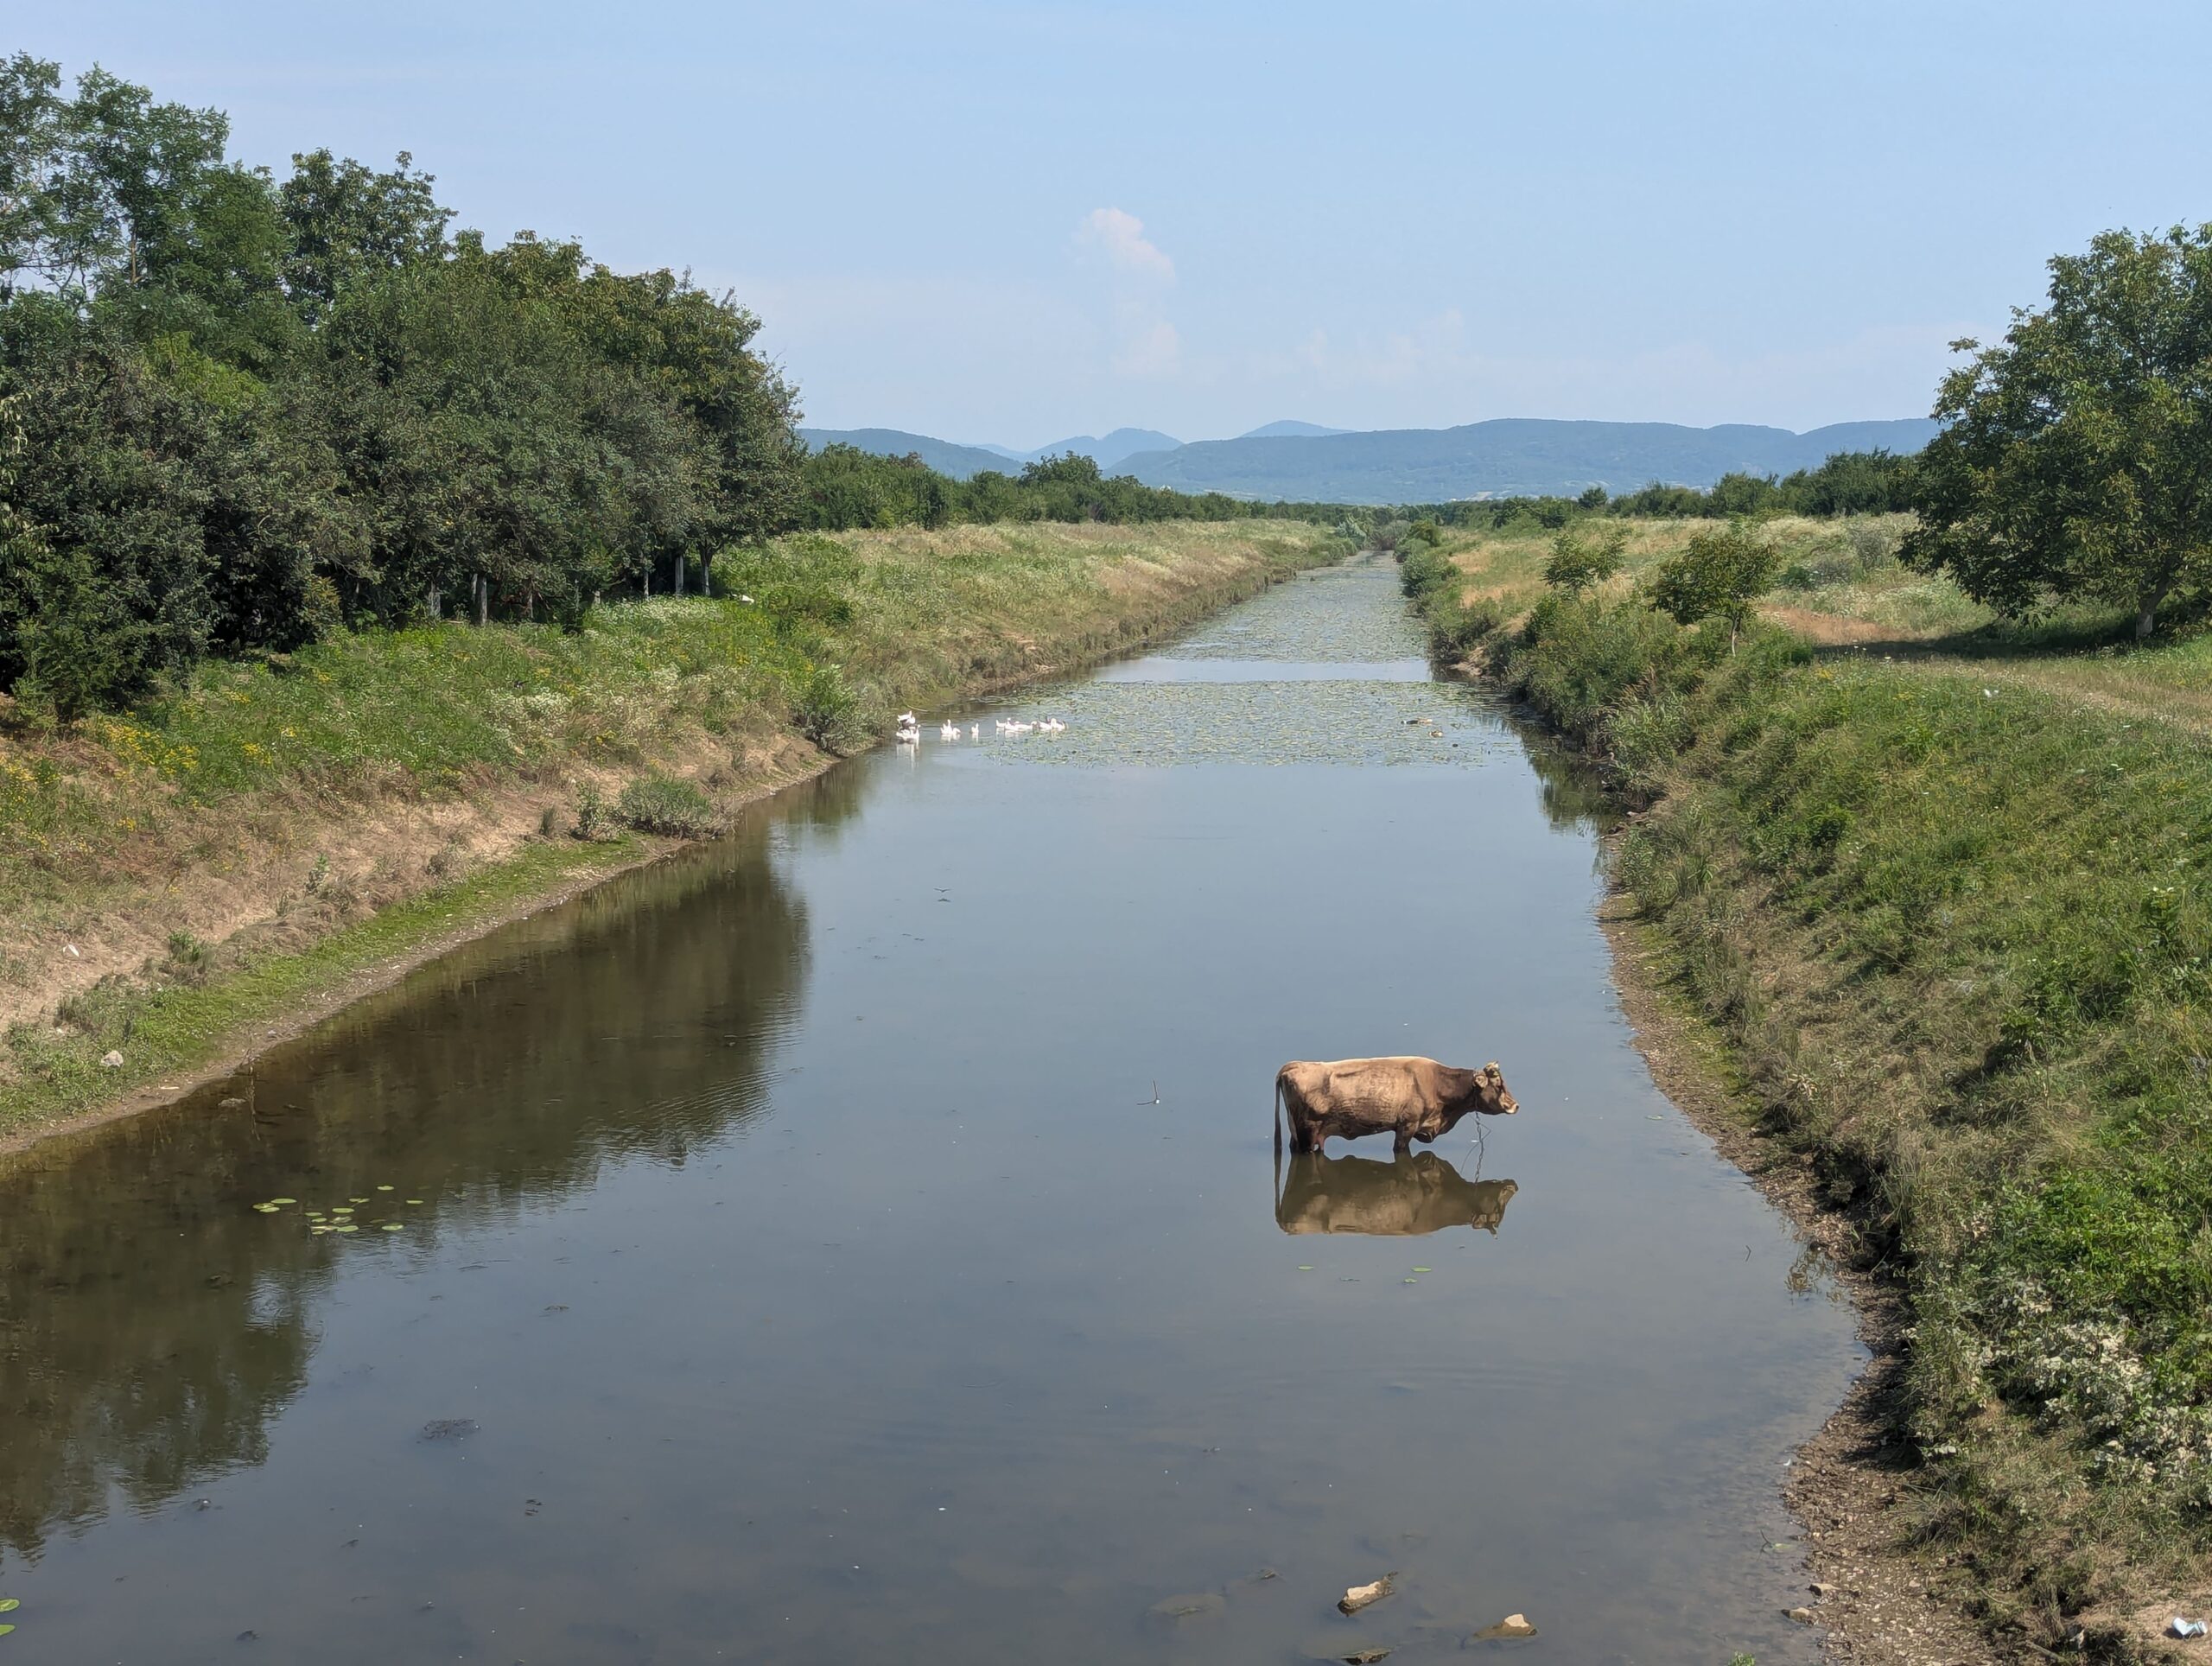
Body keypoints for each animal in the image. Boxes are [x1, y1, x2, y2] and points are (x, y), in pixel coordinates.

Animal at [1274, 1055, 1517, 1157]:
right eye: (1498, 1085)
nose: (1515, 1105)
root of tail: (1294, 1066)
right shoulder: (1407, 1125)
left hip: (1298, 1133)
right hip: (1308, 1132)